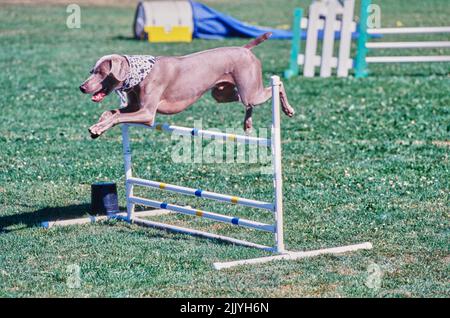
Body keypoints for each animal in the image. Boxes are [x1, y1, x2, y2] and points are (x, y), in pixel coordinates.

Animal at [79, 32, 294, 139]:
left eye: (101, 73)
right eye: (91, 71)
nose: (82, 87)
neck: (139, 74)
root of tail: (244, 49)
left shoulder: (147, 114)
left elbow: (117, 117)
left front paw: (98, 128)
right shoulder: (133, 106)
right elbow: (111, 113)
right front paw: (98, 126)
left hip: (250, 89)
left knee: (277, 85)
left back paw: (288, 109)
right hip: (222, 93)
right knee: (245, 102)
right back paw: (247, 123)